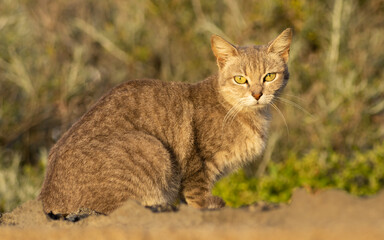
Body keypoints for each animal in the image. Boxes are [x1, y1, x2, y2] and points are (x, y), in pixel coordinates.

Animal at [38, 27, 292, 219]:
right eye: (240, 79)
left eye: (269, 76)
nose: (257, 94)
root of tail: (46, 197)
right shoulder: (198, 165)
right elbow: (196, 196)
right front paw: (209, 206)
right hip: (150, 148)